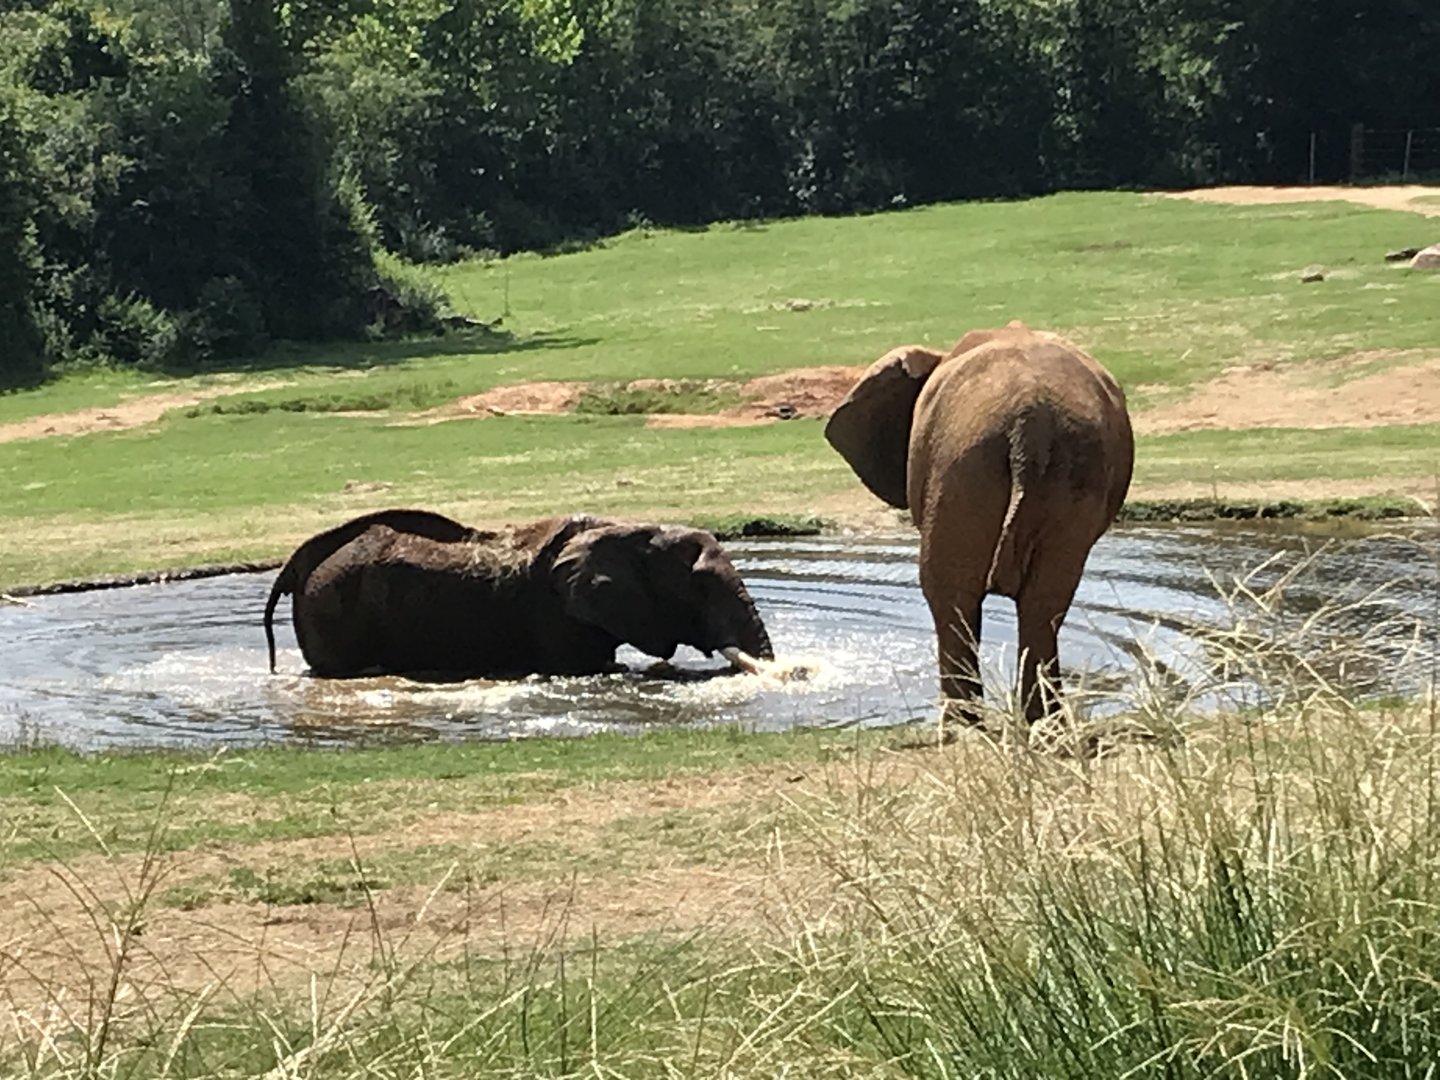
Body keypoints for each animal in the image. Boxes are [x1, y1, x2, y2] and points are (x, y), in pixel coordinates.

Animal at [824, 321, 1133, 730]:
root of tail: (1029, 421)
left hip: (960, 463)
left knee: (949, 594)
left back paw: (965, 727)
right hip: (1049, 471)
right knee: (1043, 601)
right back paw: (1041, 726)